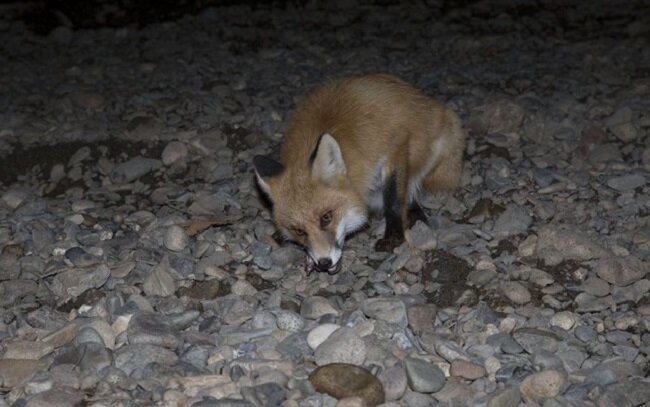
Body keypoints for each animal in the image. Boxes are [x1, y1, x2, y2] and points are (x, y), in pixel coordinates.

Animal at [254, 75, 466, 276]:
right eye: (299, 231)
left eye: (326, 217)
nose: (324, 263)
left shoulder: (397, 147)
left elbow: (394, 199)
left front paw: (393, 237)